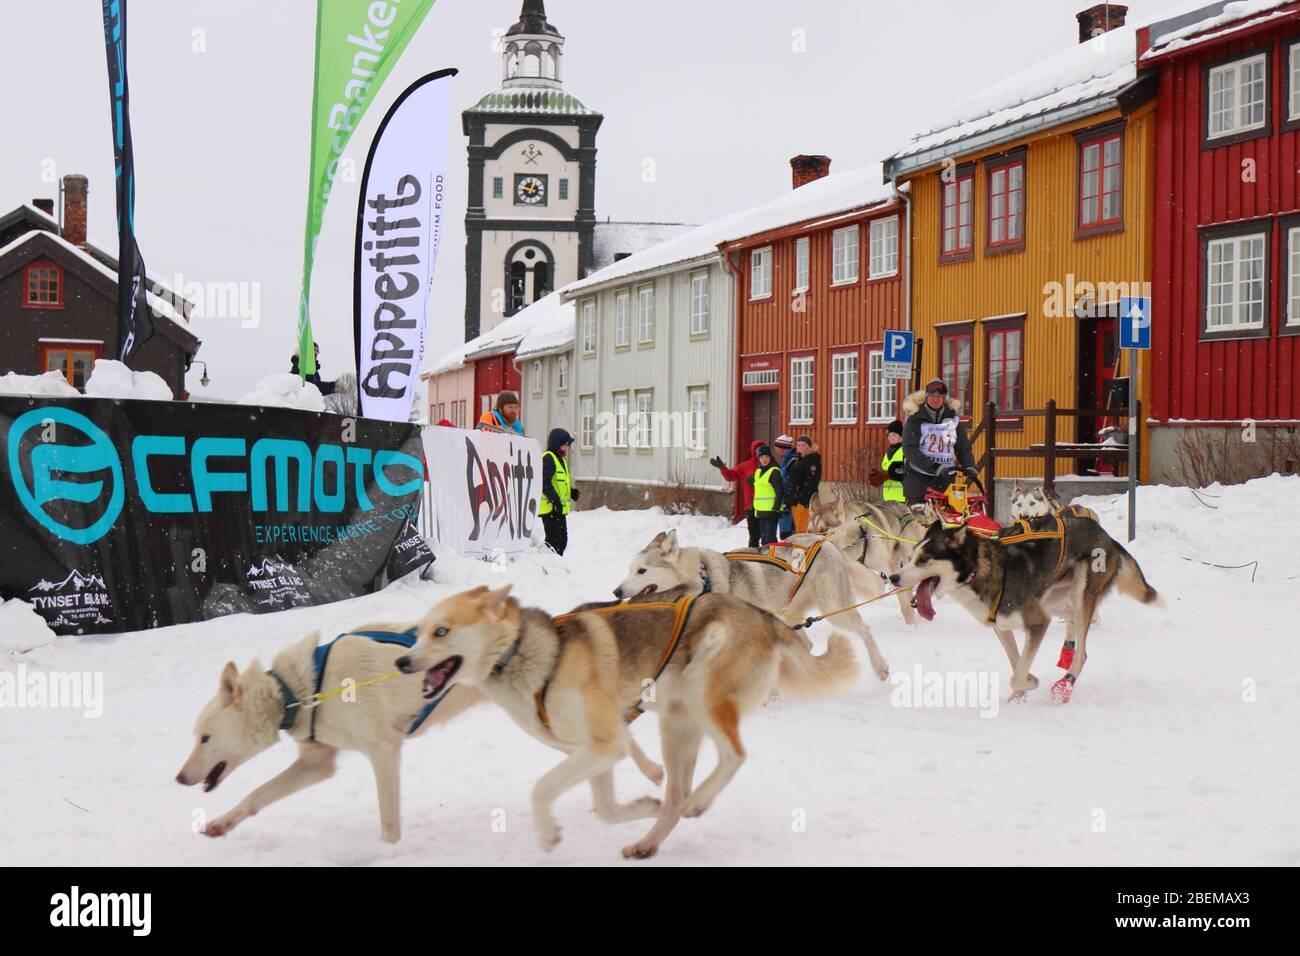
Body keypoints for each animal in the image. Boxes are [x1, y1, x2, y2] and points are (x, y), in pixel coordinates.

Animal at [172, 629, 483, 842]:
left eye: (205, 738)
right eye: (196, 736)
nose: (179, 778)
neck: (302, 693)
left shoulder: (383, 752)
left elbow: (389, 824)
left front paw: (388, 851)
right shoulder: (317, 762)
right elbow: (257, 794)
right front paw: (222, 823)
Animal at [395, 582, 863, 858]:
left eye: (441, 632)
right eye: (419, 631)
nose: (402, 661)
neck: (531, 658)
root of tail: (765, 617)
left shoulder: (605, 745)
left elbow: (541, 788)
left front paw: (546, 833)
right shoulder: (597, 750)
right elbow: (605, 808)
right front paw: (641, 806)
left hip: (704, 694)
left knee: (733, 756)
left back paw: (699, 801)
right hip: (676, 724)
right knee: (676, 795)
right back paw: (649, 840)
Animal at [618, 530, 894, 681]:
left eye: (642, 571)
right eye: (629, 569)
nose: (616, 591)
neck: (704, 580)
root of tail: (823, 540)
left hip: (833, 608)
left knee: (863, 629)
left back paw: (880, 666)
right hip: (788, 614)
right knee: (805, 645)